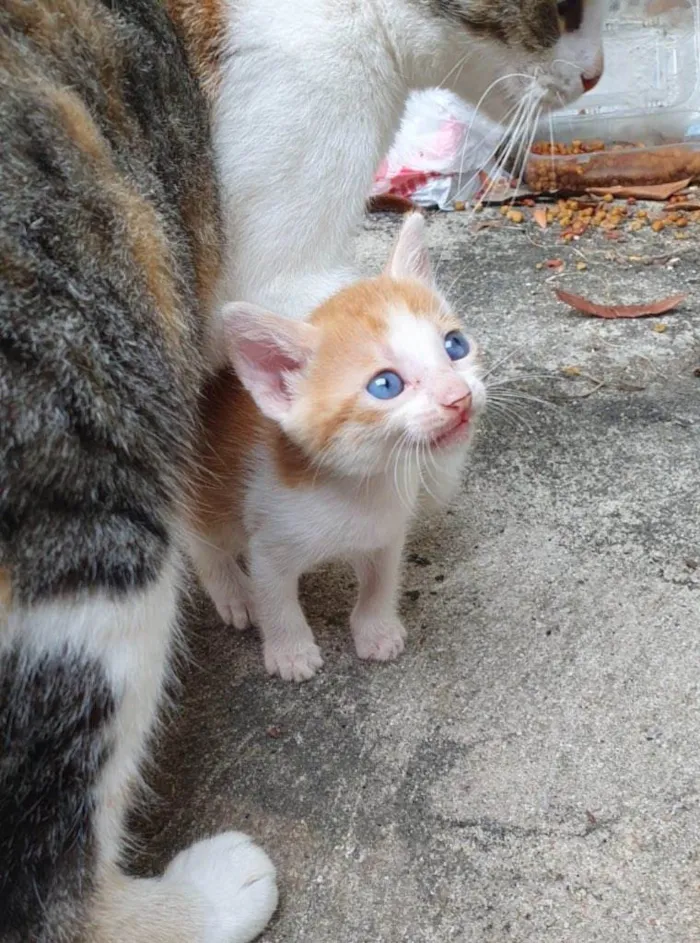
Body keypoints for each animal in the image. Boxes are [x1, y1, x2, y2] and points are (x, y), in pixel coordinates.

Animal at [191, 218, 486, 684]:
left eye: (455, 345)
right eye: (385, 385)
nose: (459, 397)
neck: (356, 488)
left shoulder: (386, 533)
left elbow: (381, 580)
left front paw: (376, 629)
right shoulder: (268, 542)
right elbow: (277, 600)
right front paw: (290, 652)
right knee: (202, 539)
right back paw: (234, 592)